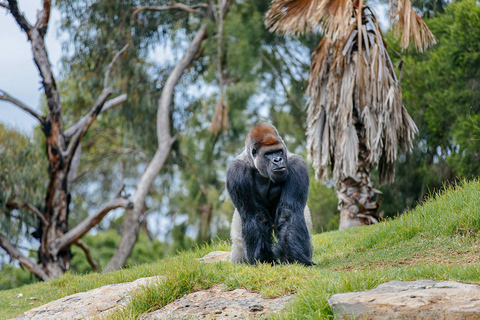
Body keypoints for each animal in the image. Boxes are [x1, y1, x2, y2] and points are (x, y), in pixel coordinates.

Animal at [226, 122, 316, 264]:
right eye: (268, 153)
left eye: (278, 151)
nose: (278, 160)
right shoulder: (237, 172)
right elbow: (255, 215)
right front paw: (264, 260)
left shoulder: (297, 166)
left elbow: (288, 214)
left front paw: (296, 259)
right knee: (239, 244)